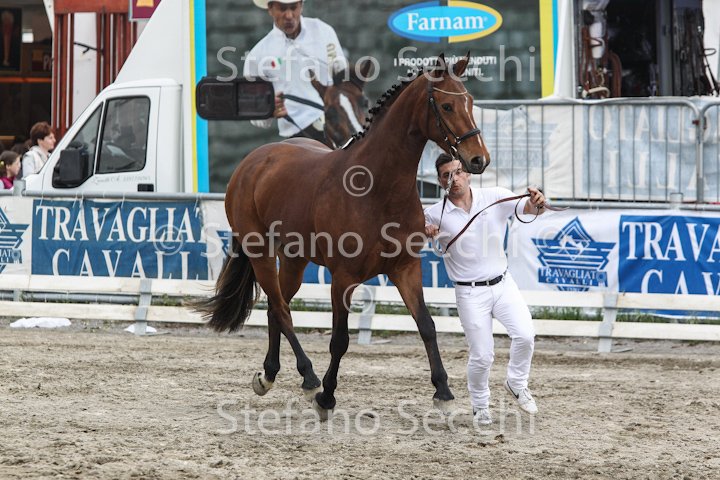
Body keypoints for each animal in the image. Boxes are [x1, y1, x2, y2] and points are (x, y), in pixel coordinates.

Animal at [196, 53, 491, 418]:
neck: (377, 186)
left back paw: (269, 374)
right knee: (281, 308)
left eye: (470, 101)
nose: (478, 159)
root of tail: (254, 160)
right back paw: (308, 378)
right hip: (261, 252)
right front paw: (326, 396)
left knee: (276, 308)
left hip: (294, 259)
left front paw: (443, 390)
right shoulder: (344, 277)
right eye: (447, 105)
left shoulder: (405, 269)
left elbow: (426, 325)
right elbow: (340, 340)